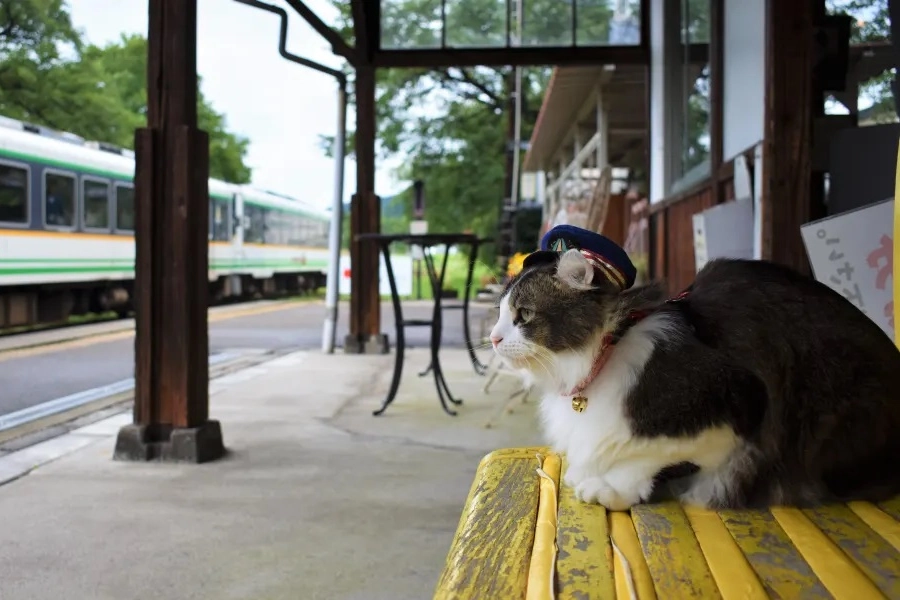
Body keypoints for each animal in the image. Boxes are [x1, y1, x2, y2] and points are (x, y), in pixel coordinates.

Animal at [488, 248, 900, 510]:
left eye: (523, 315)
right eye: (500, 313)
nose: (492, 338)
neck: (606, 353)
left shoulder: (739, 412)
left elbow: (653, 458)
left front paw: (610, 487)